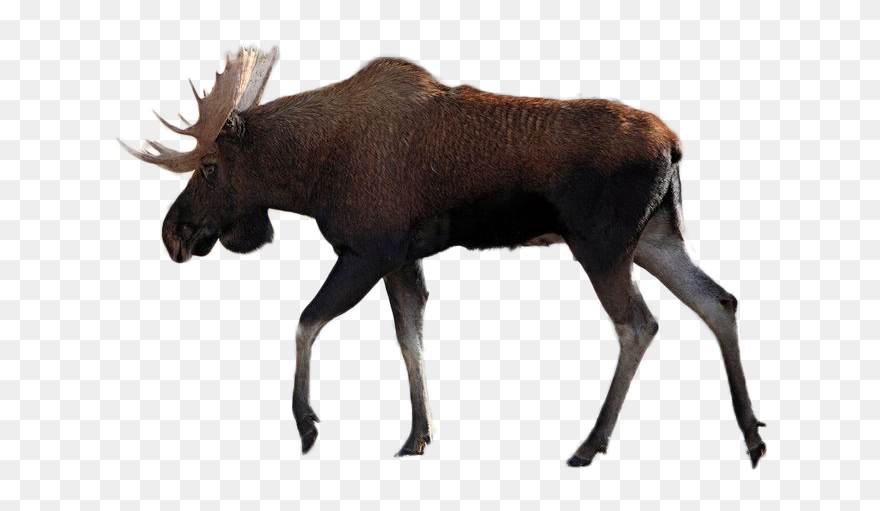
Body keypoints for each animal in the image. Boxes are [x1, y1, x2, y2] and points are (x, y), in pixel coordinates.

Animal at [119, 47, 766, 467]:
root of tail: (674, 145)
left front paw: (306, 423)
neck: (307, 175)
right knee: (719, 301)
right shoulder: (402, 259)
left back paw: (590, 444)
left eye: (208, 167)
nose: (173, 235)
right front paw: (417, 435)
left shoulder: (366, 251)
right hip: (656, 238)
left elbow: (306, 322)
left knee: (639, 325)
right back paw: (751, 434)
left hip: (602, 247)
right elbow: (410, 337)